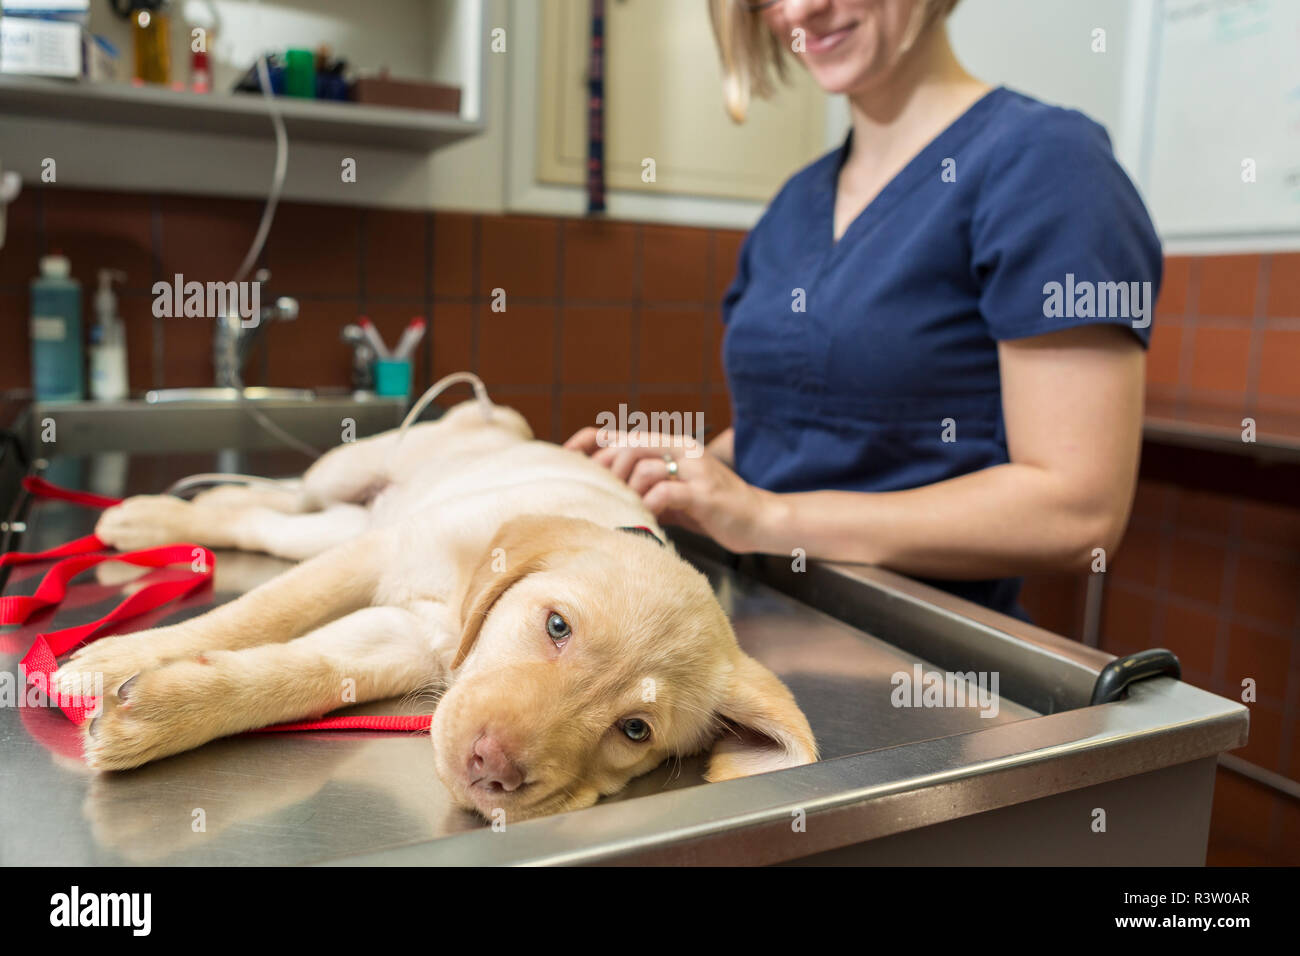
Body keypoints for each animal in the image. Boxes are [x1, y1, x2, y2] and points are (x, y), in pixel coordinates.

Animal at [58, 395, 821, 822]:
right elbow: (262, 614)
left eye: (634, 730)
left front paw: (160, 714)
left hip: (340, 523)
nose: (492, 771)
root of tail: (498, 419)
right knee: (277, 496)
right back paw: (150, 517)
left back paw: (160, 521)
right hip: (348, 478)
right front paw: (116, 658)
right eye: (557, 626)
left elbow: (295, 672)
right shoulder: (380, 555)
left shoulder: (401, 631)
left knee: (260, 521)